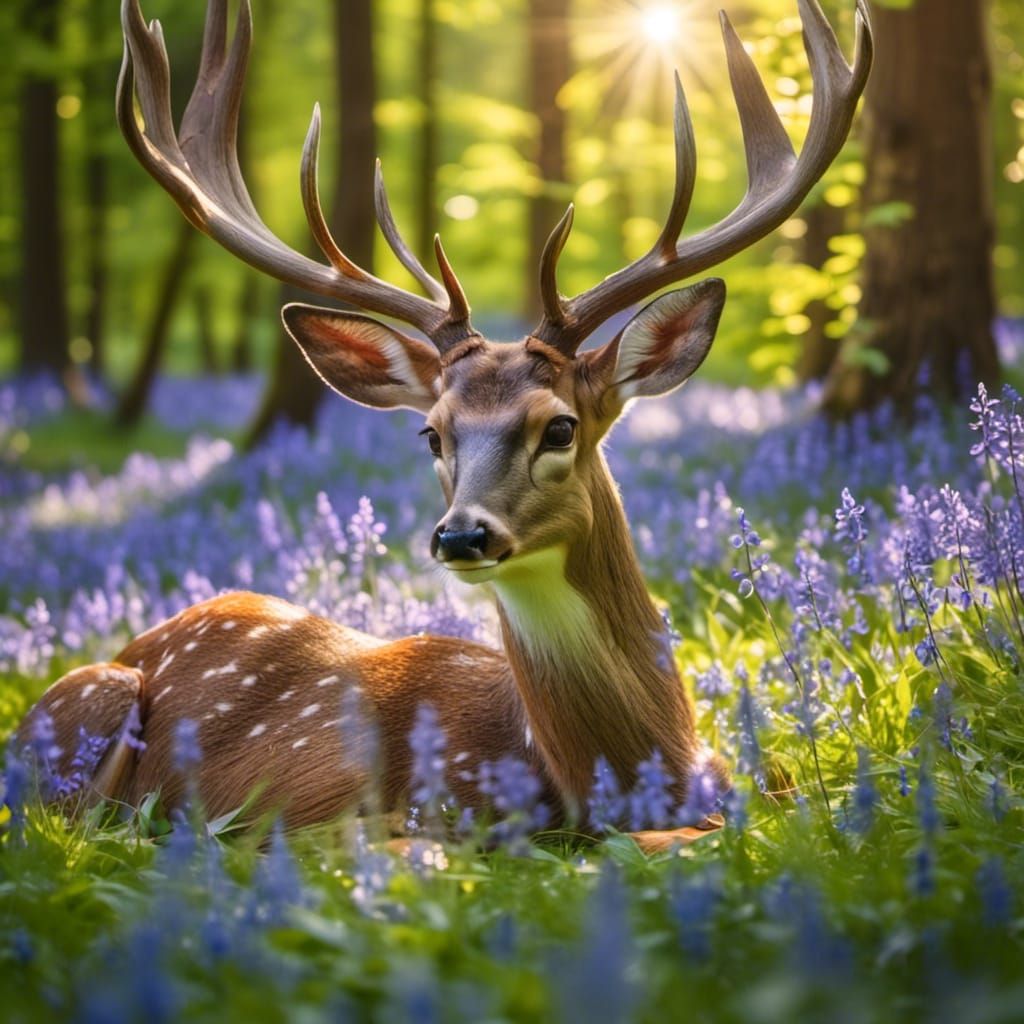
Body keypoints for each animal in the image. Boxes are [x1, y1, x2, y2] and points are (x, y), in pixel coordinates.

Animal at [12, 0, 870, 854]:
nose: (462, 535)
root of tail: (142, 639)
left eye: (560, 427)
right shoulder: (345, 817)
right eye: (432, 434)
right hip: (85, 708)